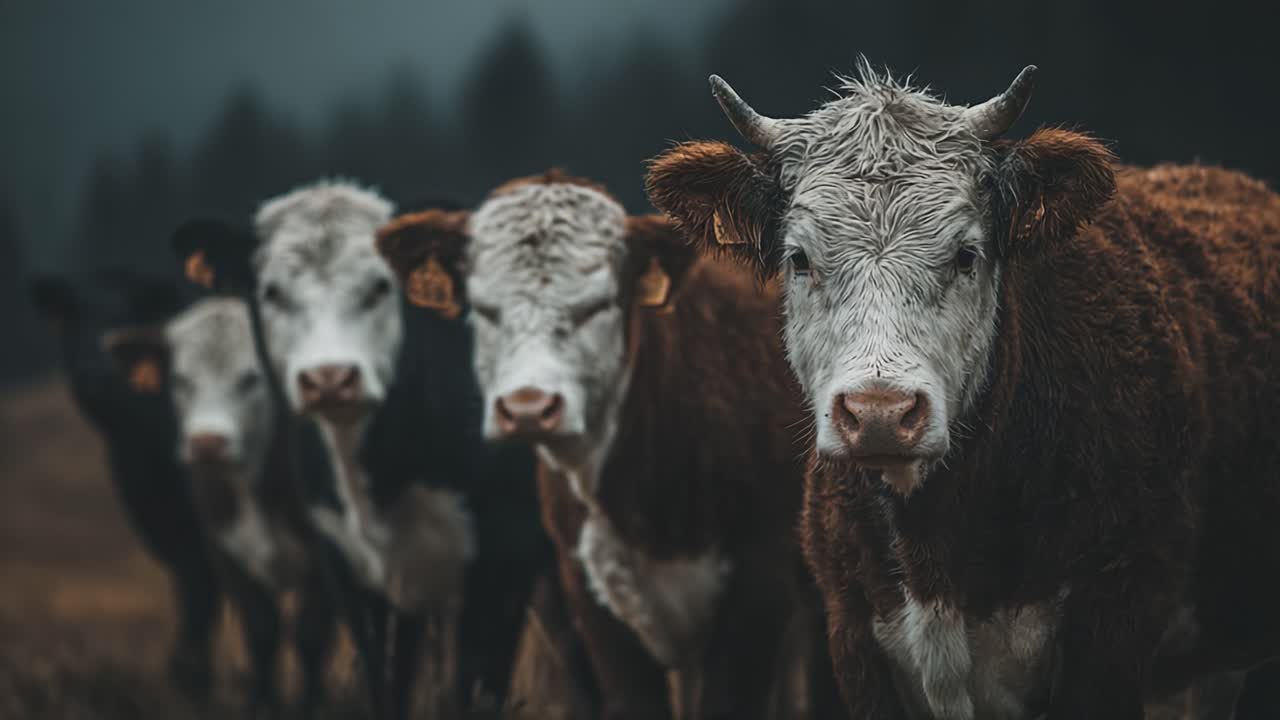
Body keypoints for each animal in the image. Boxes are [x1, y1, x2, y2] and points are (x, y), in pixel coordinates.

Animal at [104, 295, 339, 718]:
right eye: (179, 379)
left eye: (251, 378)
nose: (207, 442)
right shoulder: (226, 553)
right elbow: (261, 631)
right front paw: (261, 705)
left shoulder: (327, 562)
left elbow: (310, 635)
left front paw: (311, 707)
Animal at [168, 181, 593, 719]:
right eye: (271, 291)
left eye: (380, 286)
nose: (329, 378)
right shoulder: (349, 568)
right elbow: (385, 679)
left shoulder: (504, 553)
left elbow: (479, 681)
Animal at [646, 62, 1280, 719]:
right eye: (798, 258)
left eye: (966, 253)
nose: (880, 412)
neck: (935, 561)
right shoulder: (853, 639)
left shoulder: (1114, 622)